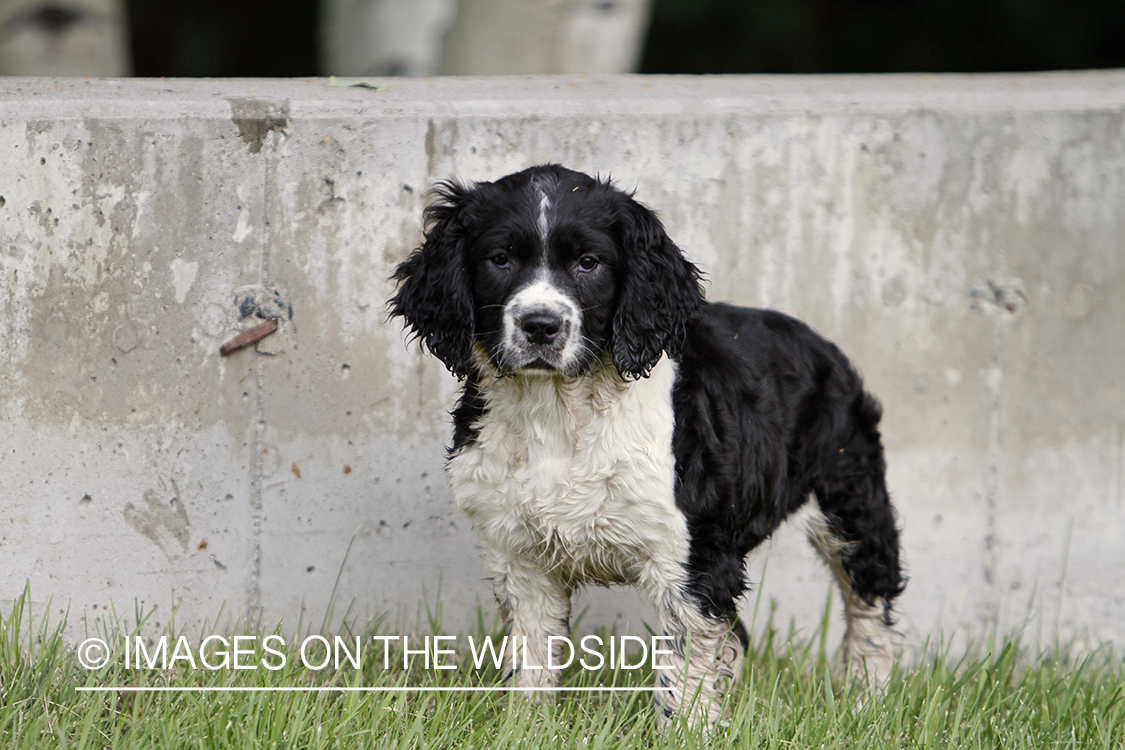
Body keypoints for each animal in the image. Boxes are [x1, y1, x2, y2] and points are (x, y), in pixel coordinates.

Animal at [391, 164, 900, 728]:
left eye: (589, 263)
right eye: (500, 259)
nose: (541, 326)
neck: (559, 412)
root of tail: (823, 345)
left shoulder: (692, 555)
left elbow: (687, 661)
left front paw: (690, 729)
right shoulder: (519, 553)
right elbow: (533, 653)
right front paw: (525, 726)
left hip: (849, 499)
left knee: (871, 607)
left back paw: (868, 702)